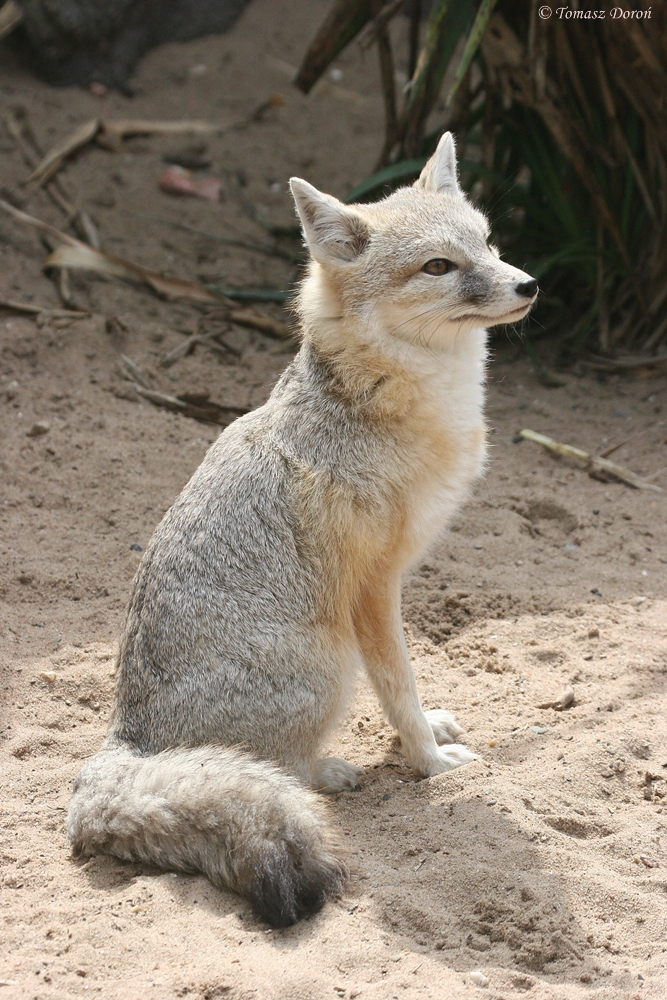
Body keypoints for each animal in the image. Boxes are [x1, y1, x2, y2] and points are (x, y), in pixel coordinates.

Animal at [67, 132, 538, 928]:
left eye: (487, 243)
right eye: (437, 267)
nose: (529, 285)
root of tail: (127, 737)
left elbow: (413, 683)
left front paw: (432, 730)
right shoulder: (373, 589)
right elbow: (399, 684)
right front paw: (426, 762)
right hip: (329, 657)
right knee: (276, 771)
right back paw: (331, 769)